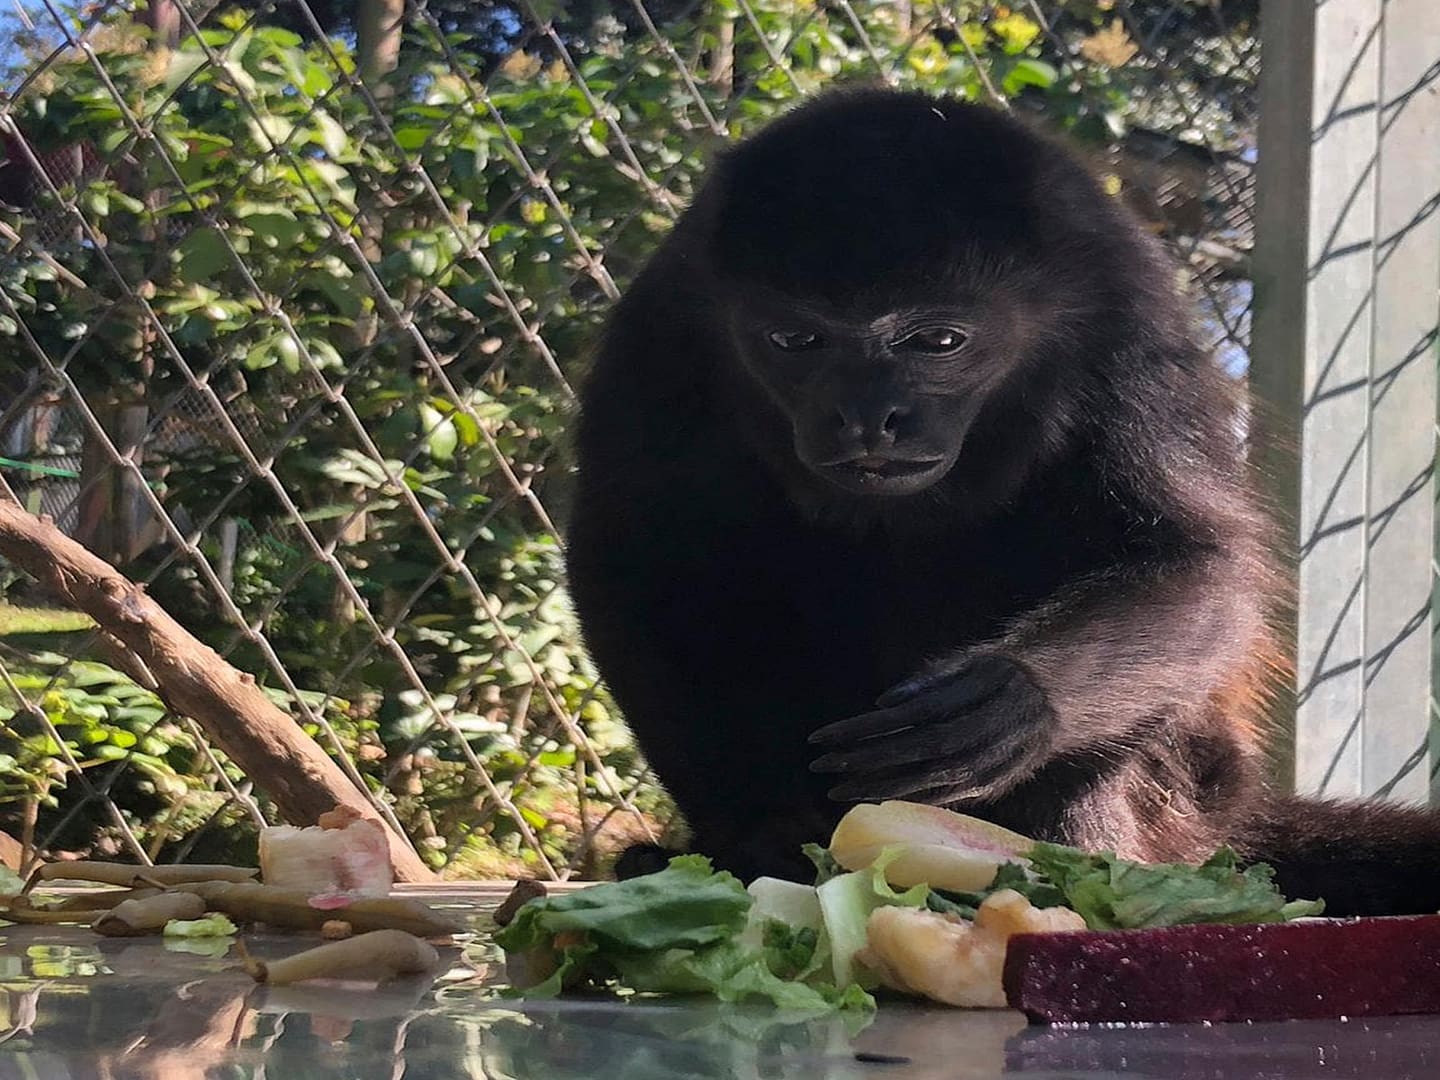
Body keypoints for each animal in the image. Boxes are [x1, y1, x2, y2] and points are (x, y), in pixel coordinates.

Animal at [567, 88, 1440, 915]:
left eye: (938, 341)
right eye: (795, 341)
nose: (868, 416)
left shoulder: (1128, 317)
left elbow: (1194, 559)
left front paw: (1013, 698)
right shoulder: (659, 330)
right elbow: (633, 570)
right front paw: (757, 840)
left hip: (1196, 799)